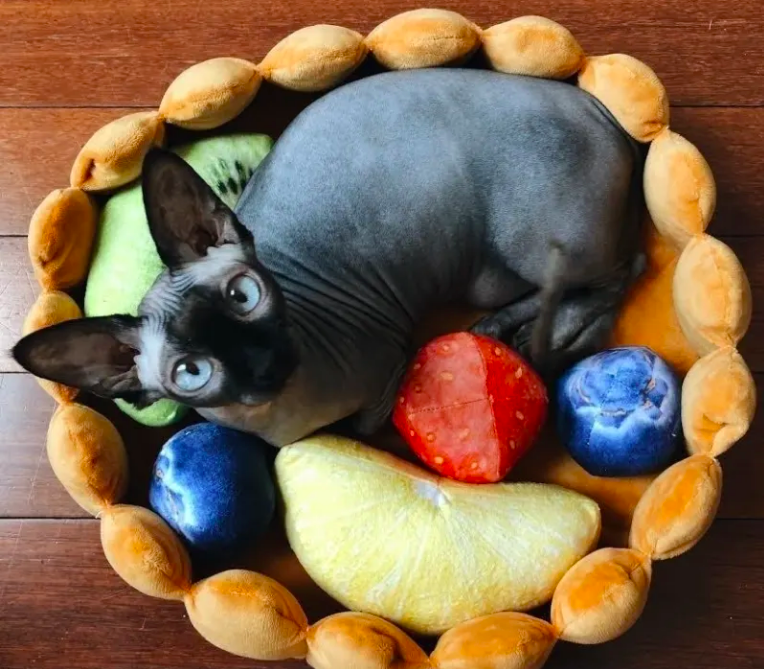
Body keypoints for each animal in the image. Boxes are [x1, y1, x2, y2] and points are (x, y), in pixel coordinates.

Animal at [13, 68, 644, 446]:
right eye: (190, 373)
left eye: (244, 294)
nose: (261, 362)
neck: (287, 413)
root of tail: (596, 107)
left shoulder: (391, 359)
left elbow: (366, 426)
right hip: (496, 272)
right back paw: (510, 326)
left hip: (534, 245)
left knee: (620, 272)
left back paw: (551, 331)